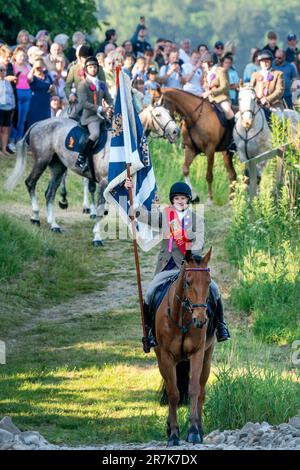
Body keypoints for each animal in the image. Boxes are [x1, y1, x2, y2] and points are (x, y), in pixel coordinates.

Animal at [4, 104, 179, 246]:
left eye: (169, 113)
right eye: (158, 115)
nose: (175, 131)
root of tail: (38, 123)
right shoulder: (104, 182)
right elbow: (101, 209)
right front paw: (97, 237)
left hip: (58, 167)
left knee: (49, 194)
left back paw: (54, 225)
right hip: (42, 161)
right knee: (31, 183)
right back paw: (35, 217)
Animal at [155, 248, 216, 446]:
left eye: (208, 281)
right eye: (188, 282)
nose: (201, 320)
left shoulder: (197, 353)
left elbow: (194, 389)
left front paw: (194, 431)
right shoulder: (166, 356)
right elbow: (173, 393)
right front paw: (174, 434)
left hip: (207, 356)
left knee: (202, 391)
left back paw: (200, 429)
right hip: (162, 360)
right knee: (170, 388)